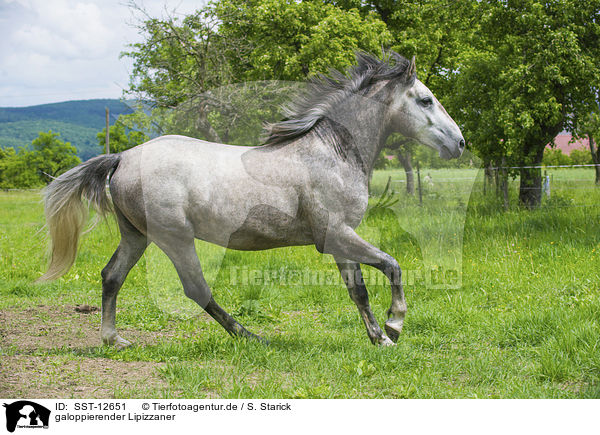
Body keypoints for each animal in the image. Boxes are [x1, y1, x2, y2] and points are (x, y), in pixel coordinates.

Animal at [39, 52, 466, 348]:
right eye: (426, 100)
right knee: (197, 290)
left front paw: (380, 338)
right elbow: (392, 265)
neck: (330, 153)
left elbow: (358, 290)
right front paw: (395, 324)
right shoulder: (337, 235)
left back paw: (114, 340)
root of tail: (123, 157)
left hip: (136, 235)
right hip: (173, 238)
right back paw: (251, 337)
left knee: (112, 276)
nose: (460, 143)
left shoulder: (341, 239)